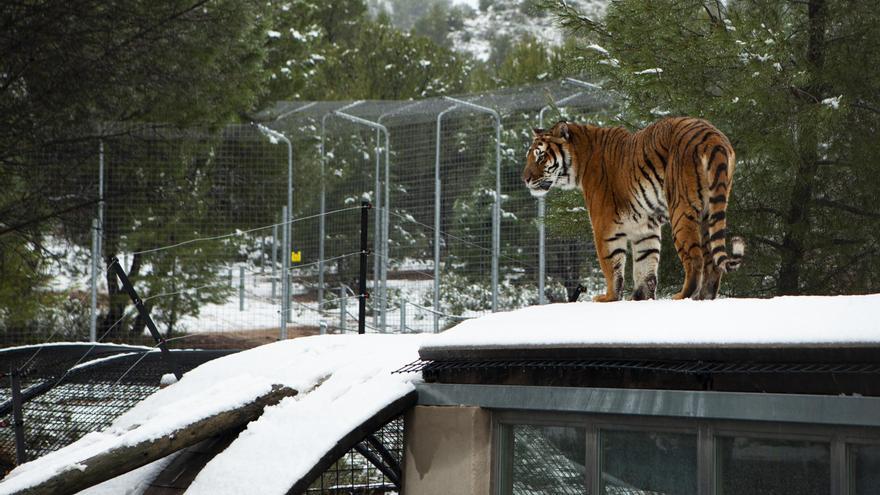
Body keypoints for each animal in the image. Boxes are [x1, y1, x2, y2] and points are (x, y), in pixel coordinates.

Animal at [524, 117, 744, 302]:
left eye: (540, 157)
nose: (524, 179)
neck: (581, 158)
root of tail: (712, 136)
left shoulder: (604, 225)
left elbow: (611, 265)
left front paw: (608, 298)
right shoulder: (644, 227)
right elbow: (645, 265)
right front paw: (640, 298)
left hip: (681, 210)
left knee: (695, 259)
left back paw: (682, 296)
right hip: (710, 210)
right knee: (711, 262)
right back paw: (705, 297)